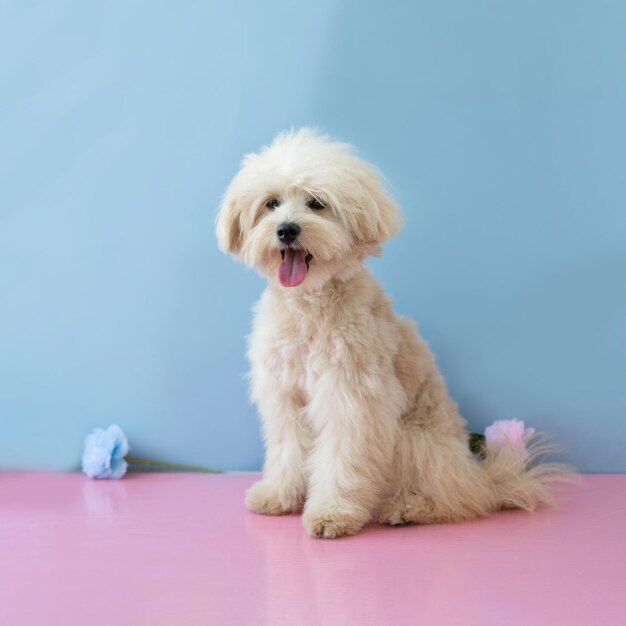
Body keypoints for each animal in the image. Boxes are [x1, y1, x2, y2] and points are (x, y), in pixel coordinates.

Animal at [217, 128, 568, 536]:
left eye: (316, 203)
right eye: (271, 204)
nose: (286, 230)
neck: (310, 304)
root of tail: (484, 476)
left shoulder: (351, 399)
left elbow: (342, 457)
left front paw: (333, 512)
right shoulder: (286, 396)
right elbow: (287, 448)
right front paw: (279, 495)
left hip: (415, 442)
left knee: (461, 499)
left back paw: (410, 507)